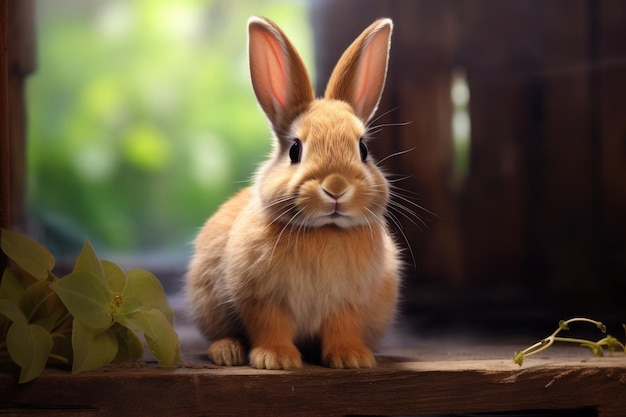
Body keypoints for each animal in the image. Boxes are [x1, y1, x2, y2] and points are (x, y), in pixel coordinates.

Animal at [185, 14, 400, 368]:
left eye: (363, 149)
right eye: (295, 150)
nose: (336, 187)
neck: (324, 231)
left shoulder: (349, 303)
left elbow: (342, 327)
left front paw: (351, 358)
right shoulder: (263, 299)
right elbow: (270, 326)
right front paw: (276, 359)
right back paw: (227, 352)